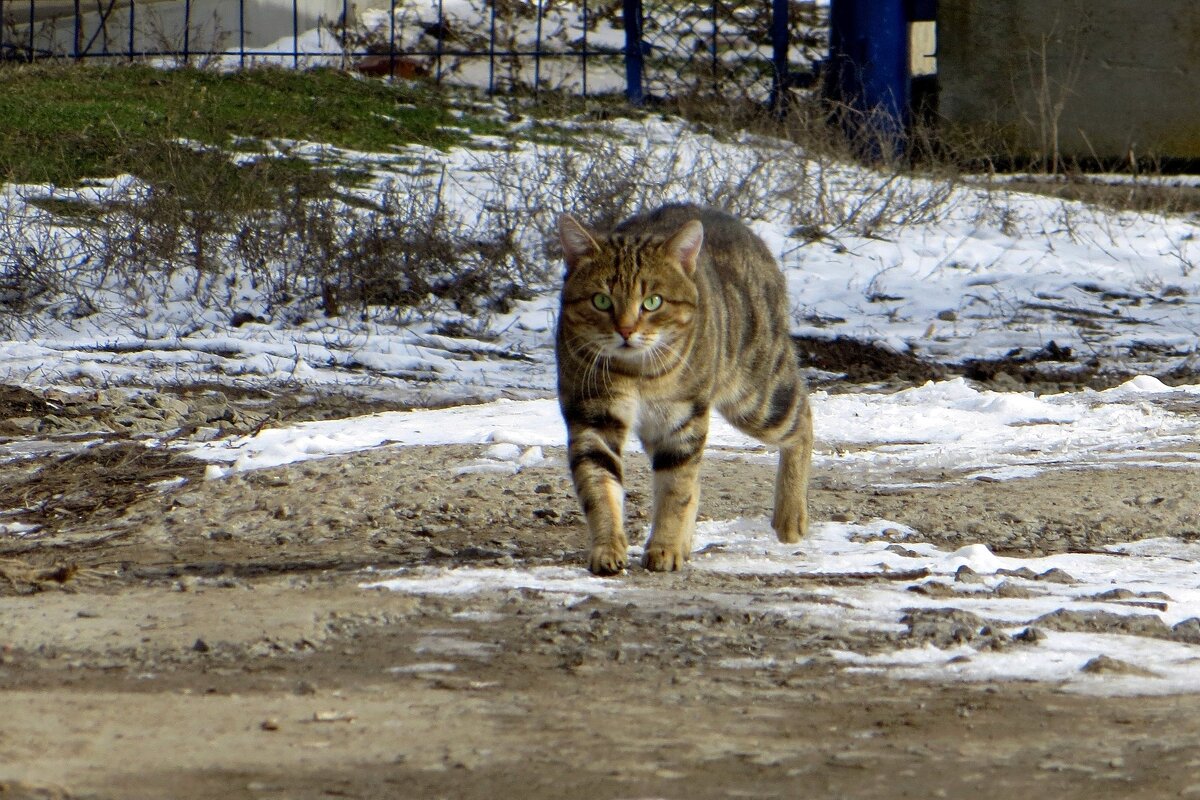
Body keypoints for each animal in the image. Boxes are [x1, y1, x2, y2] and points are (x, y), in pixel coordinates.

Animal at [556, 201, 811, 575]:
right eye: (601, 301)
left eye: (653, 302)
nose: (626, 330)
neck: (636, 371)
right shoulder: (592, 416)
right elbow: (599, 486)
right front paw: (608, 548)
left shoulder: (682, 418)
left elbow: (676, 489)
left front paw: (664, 547)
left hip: (757, 395)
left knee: (803, 416)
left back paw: (790, 516)